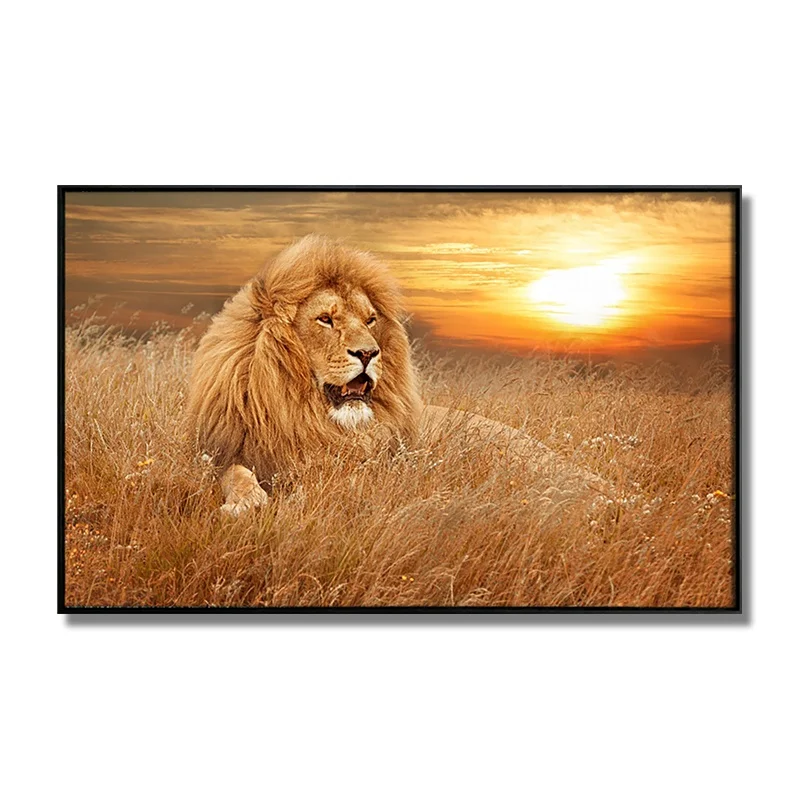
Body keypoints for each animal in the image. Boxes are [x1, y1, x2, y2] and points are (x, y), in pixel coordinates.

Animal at [187, 234, 610, 516]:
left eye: (370, 320)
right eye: (325, 319)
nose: (368, 353)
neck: (303, 414)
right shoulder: (221, 453)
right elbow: (235, 472)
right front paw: (246, 502)